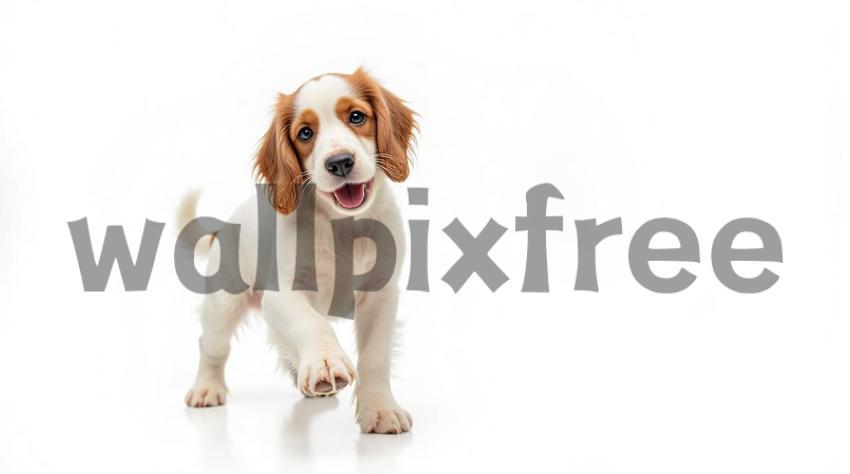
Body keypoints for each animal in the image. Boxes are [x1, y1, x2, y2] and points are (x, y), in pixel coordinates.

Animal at [181, 66, 414, 434]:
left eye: (357, 116)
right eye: (305, 133)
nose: (340, 163)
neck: (341, 225)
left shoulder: (381, 295)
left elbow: (375, 357)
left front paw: (380, 410)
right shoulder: (283, 294)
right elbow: (313, 323)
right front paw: (326, 361)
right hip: (223, 304)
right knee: (212, 345)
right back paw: (207, 387)